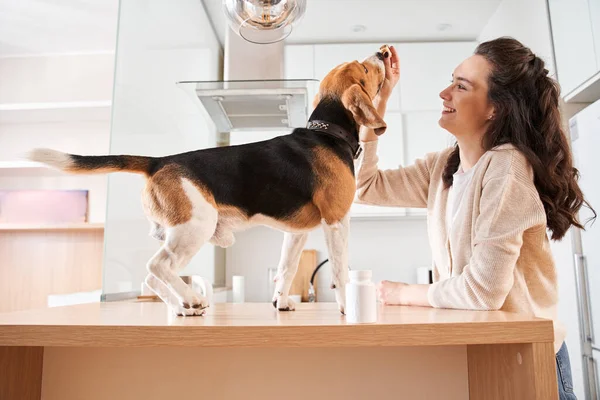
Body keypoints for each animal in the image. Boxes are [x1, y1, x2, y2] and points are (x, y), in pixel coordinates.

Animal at [28, 45, 392, 318]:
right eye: (365, 68)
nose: (382, 52)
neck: (326, 133)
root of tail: (159, 161)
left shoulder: (296, 234)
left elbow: (286, 269)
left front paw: (281, 302)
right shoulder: (336, 221)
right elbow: (341, 271)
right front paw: (346, 306)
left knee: (152, 277)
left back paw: (182, 306)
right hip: (195, 226)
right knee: (157, 265)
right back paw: (190, 297)